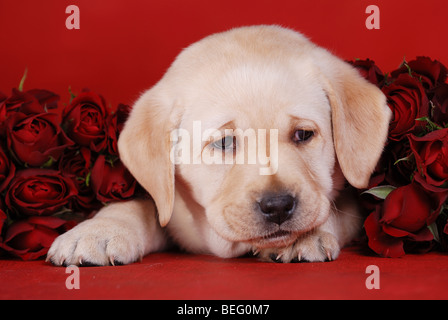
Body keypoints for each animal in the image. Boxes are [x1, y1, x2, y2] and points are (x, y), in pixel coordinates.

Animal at [47, 25, 390, 264]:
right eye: (225, 143)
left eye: (303, 135)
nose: (277, 206)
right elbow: (142, 206)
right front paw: (98, 231)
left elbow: (333, 210)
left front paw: (306, 235)